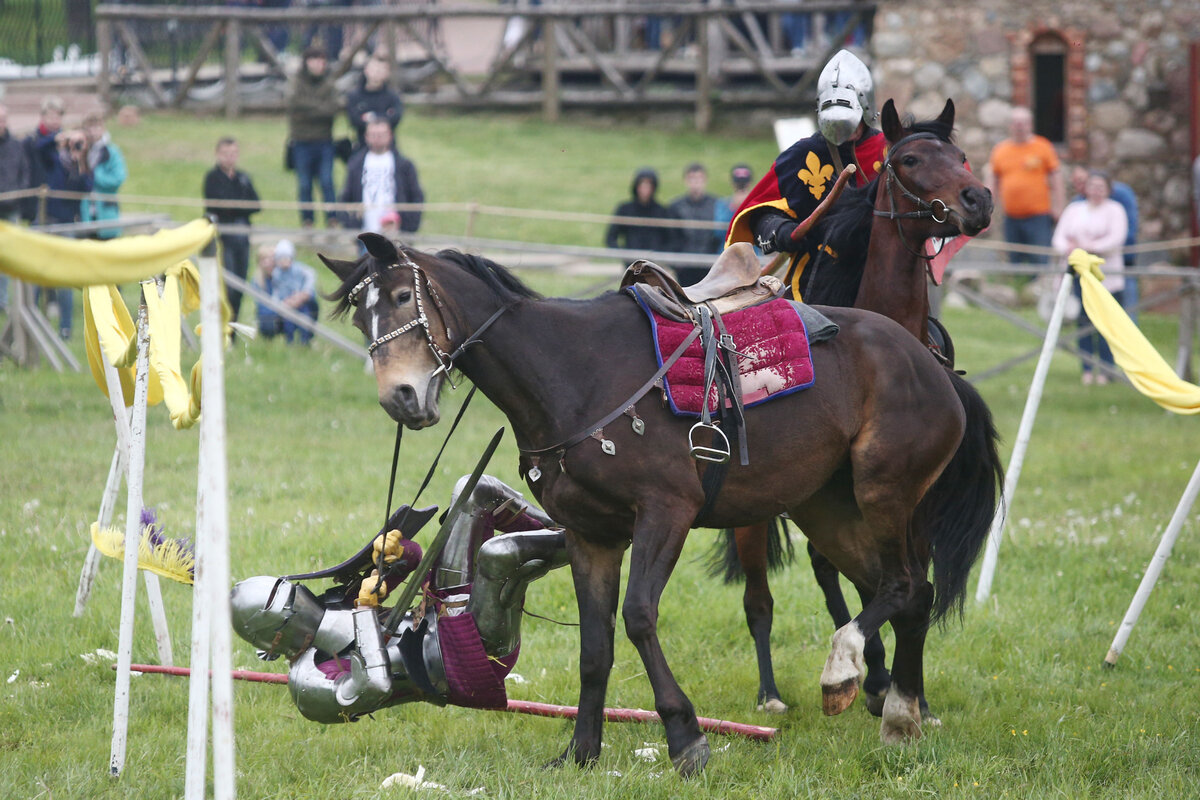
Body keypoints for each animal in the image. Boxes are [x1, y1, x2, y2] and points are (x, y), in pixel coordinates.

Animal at [321, 208, 1003, 777]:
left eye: (403, 297)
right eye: (361, 315)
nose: (400, 397)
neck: (572, 372)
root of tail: (932, 366)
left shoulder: (665, 515)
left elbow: (639, 617)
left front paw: (685, 737)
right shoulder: (590, 535)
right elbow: (594, 645)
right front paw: (581, 751)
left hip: (885, 493)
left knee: (903, 585)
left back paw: (849, 675)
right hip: (828, 509)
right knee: (910, 594)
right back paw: (901, 716)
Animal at [715, 98, 1008, 719]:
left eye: (962, 156)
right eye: (911, 160)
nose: (978, 201)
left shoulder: (912, 507)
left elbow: (910, 590)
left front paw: (911, 695)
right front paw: (875, 681)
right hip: (757, 511)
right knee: (763, 599)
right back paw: (774, 693)